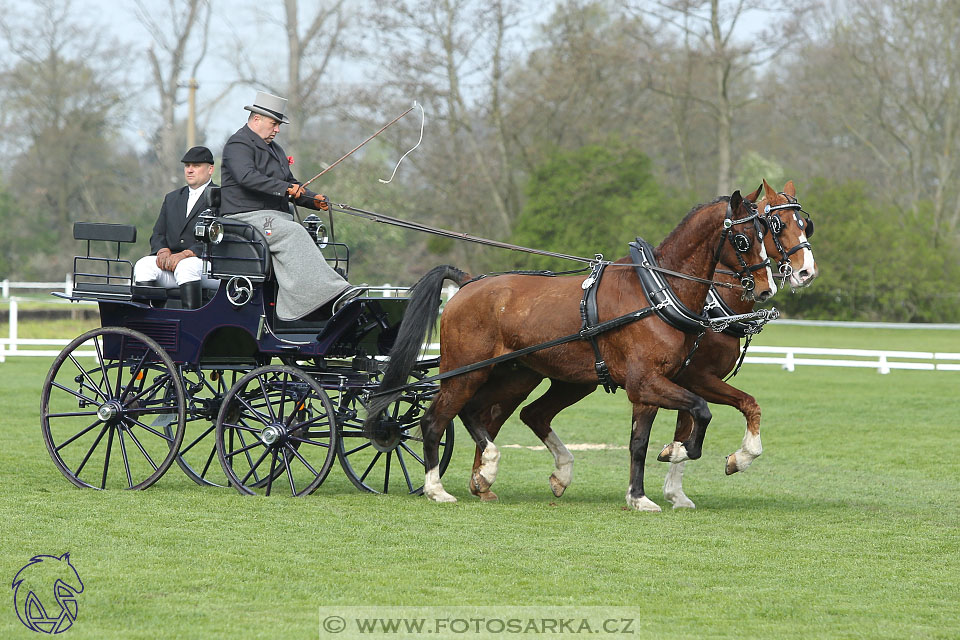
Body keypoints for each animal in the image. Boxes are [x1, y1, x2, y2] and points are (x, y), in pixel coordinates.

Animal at [368, 189, 780, 510]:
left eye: (766, 232)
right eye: (743, 239)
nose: (765, 289)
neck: (656, 293)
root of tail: (468, 283)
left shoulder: (658, 385)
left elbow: (643, 440)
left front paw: (642, 491)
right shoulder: (646, 383)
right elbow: (700, 411)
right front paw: (673, 456)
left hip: (516, 375)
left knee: (484, 412)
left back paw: (495, 472)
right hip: (467, 372)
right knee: (435, 421)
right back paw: (436, 488)